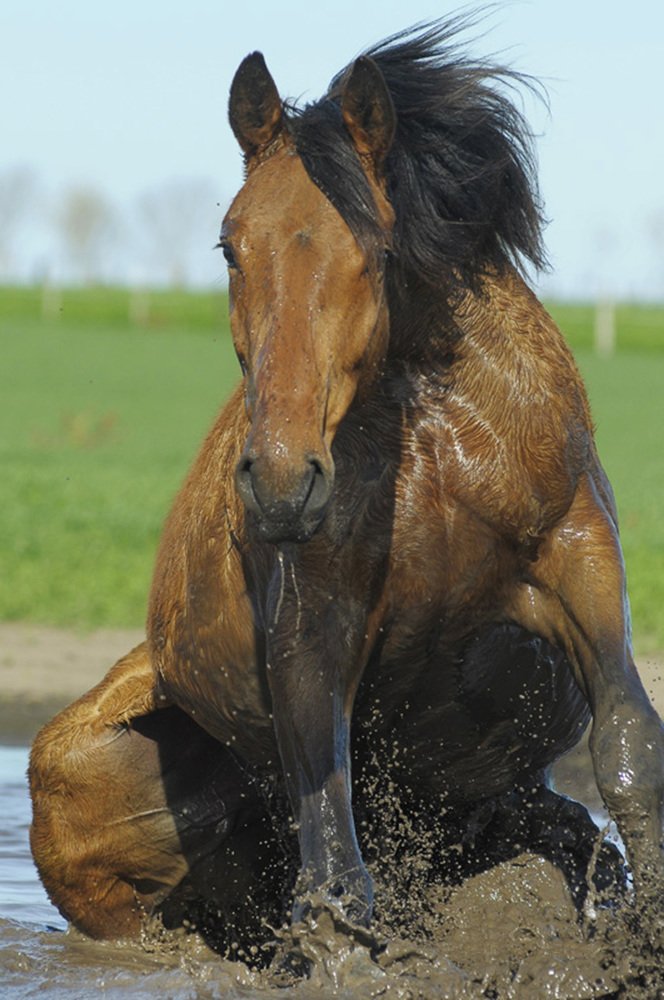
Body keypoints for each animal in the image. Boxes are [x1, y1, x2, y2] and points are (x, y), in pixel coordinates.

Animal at [30, 19, 663, 956]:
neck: (429, 433)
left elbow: (628, 755)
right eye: (229, 244)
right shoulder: (312, 618)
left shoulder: (578, 554)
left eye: (377, 250)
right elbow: (333, 871)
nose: (280, 482)